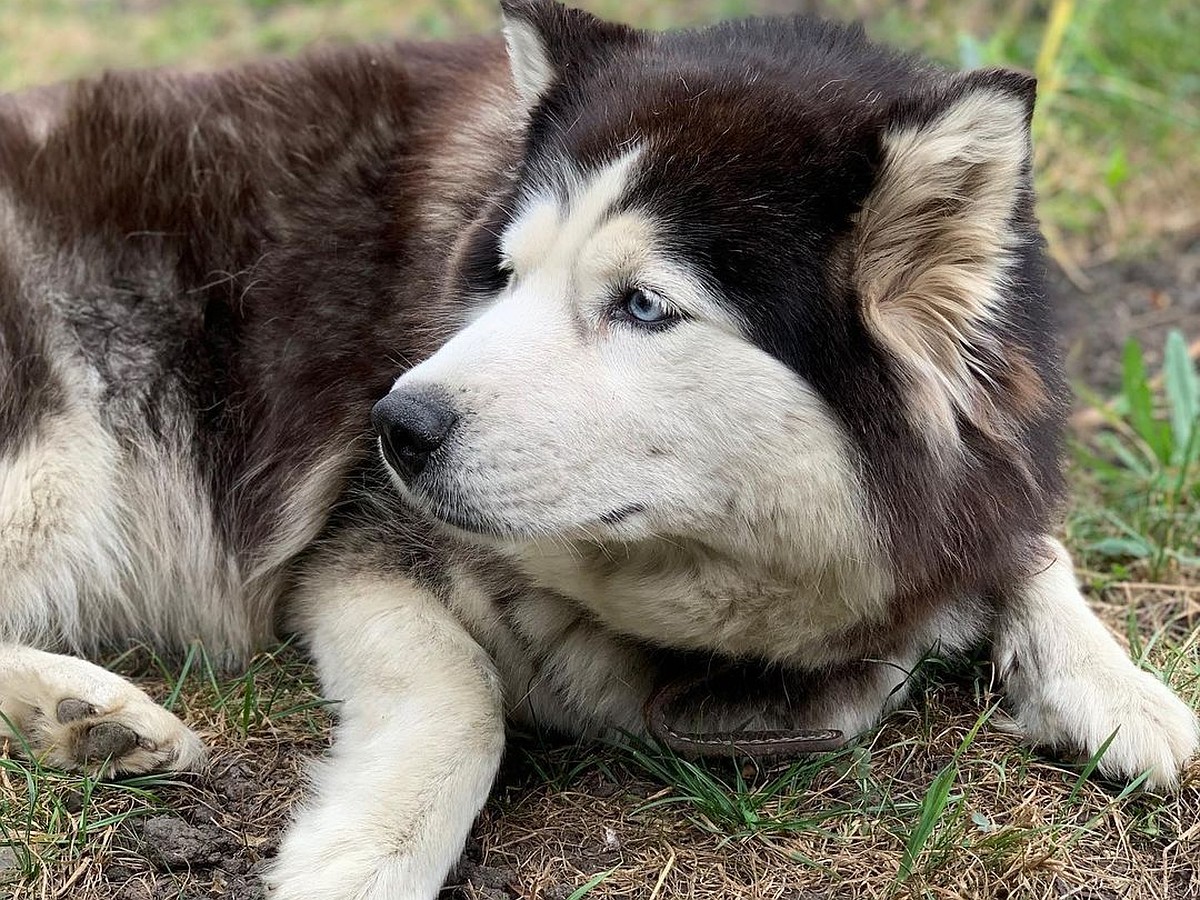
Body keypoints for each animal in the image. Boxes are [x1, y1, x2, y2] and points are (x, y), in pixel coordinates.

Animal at [2, 0, 1200, 897]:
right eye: (504, 274)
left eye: (642, 305)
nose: (393, 426)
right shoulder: (354, 547)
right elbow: (465, 694)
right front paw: (370, 852)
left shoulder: (980, 469)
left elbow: (1029, 545)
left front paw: (1122, 690)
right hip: (58, 455)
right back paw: (81, 710)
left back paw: (74, 720)